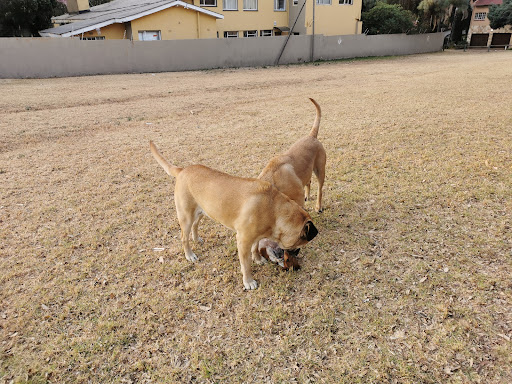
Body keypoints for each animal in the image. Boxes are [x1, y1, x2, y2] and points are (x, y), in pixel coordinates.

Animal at [149, 140, 316, 290]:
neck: (273, 209)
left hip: (202, 211)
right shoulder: (243, 241)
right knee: (184, 237)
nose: (297, 254)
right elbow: (246, 265)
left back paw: (196, 239)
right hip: (186, 216)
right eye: (299, 244)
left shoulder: (255, 237)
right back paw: (190, 255)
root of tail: (182, 170)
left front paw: (258, 259)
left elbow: (255, 248)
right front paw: (248, 281)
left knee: (195, 226)